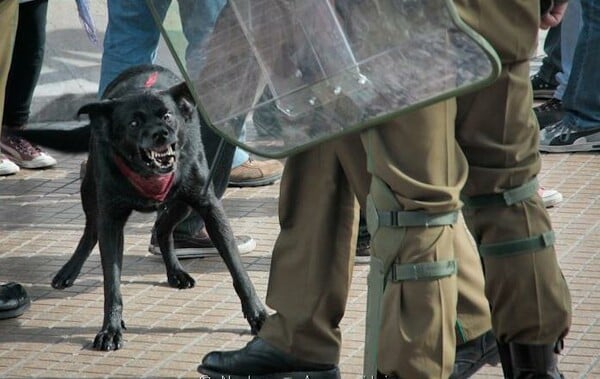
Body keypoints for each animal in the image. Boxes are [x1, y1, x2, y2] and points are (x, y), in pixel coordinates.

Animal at [15, 64, 268, 350]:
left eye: (167, 115)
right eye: (134, 123)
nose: (161, 134)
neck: (147, 174)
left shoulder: (209, 207)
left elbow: (238, 270)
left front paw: (258, 315)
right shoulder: (112, 220)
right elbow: (112, 283)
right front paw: (111, 328)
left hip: (183, 203)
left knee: (163, 228)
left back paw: (176, 271)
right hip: (90, 191)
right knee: (92, 230)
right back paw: (69, 271)